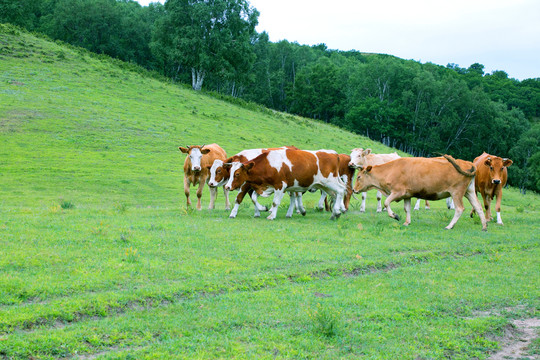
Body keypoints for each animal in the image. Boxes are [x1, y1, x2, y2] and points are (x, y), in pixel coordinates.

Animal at [352, 155, 488, 231]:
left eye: (358, 177)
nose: (354, 189)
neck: (391, 170)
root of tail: (468, 163)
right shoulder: (407, 195)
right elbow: (407, 209)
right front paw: (407, 222)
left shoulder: (398, 192)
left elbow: (386, 202)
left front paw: (395, 216)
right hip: (469, 191)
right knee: (478, 207)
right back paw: (484, 226)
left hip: (456, 192)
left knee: (460, 209)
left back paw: (449, 226)